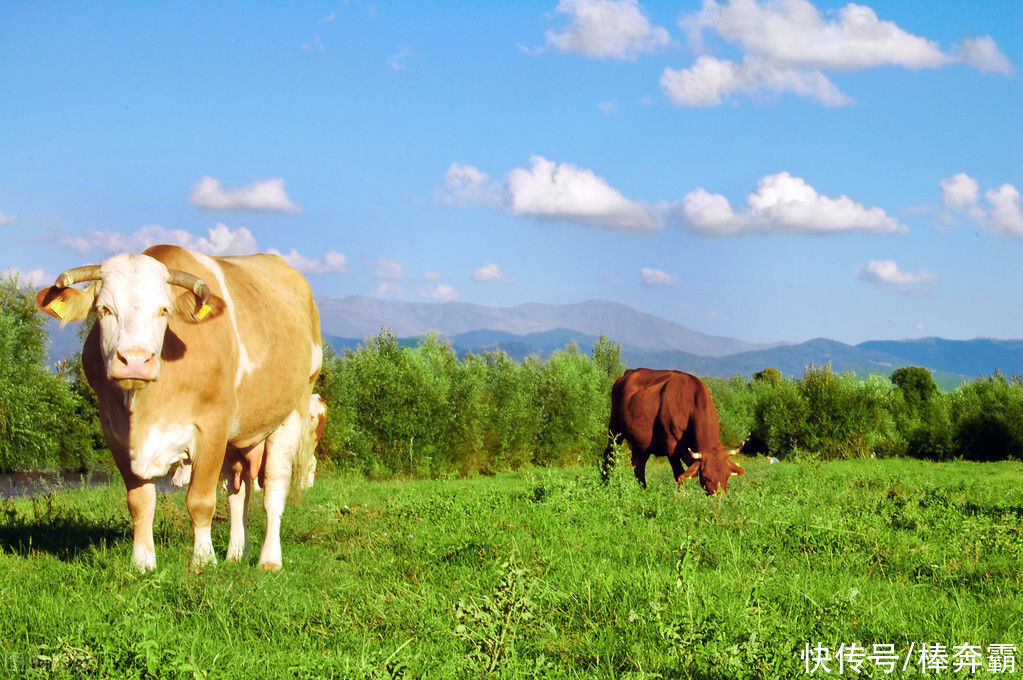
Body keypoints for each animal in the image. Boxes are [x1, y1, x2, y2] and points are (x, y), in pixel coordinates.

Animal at [37, 244, 321, 572]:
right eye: (104, 309)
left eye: (163, 310)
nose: (135, 360)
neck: (145, 412)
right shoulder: (115, 434)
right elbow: (140, 502)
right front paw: (142, 563)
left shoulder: (212, 427)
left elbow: (200, 500)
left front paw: (203, 561)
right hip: (238, 437)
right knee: (239, 493)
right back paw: (237, 553)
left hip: (294, 409)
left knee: (274, 488)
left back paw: (269, 560)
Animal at [601, 366, 748, 492]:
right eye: (705, 476)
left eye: (727, 476)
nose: (719, 500)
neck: (690, 403)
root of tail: (629, 373)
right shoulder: (671, 446)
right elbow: (679, 474)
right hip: (614, 430)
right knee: (609, 456)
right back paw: (605, 486)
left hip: (642, 443)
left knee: (639, 466)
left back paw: (644, 490)